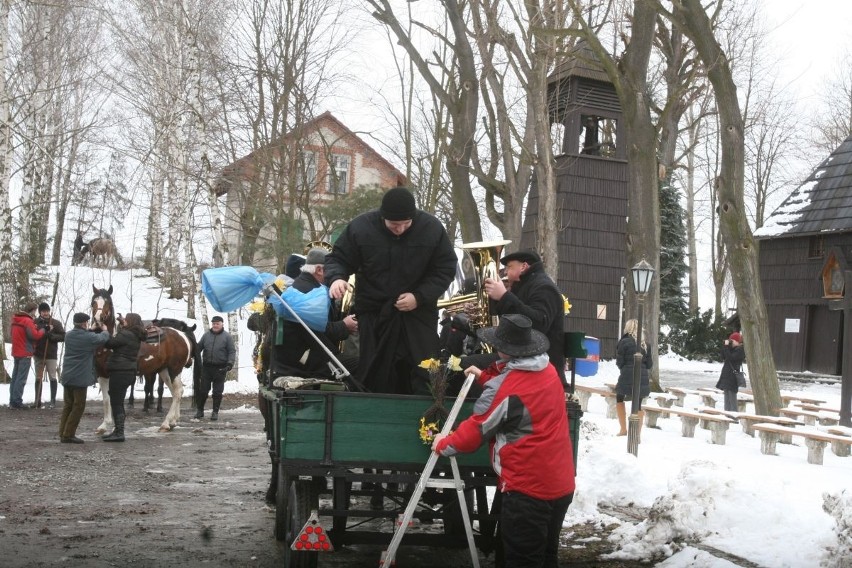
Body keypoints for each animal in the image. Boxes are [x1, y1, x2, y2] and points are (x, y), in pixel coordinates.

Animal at [90, 286, 201, 432]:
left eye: (108, 302)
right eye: (93, 302)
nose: (98, 319)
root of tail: (182, 335)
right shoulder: (102, 375)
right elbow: (106, 399)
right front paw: (104, 425)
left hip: (174, 370)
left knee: (177, 392)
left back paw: (166, 423)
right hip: (164, 371)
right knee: (175, 392)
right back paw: (173, 421)